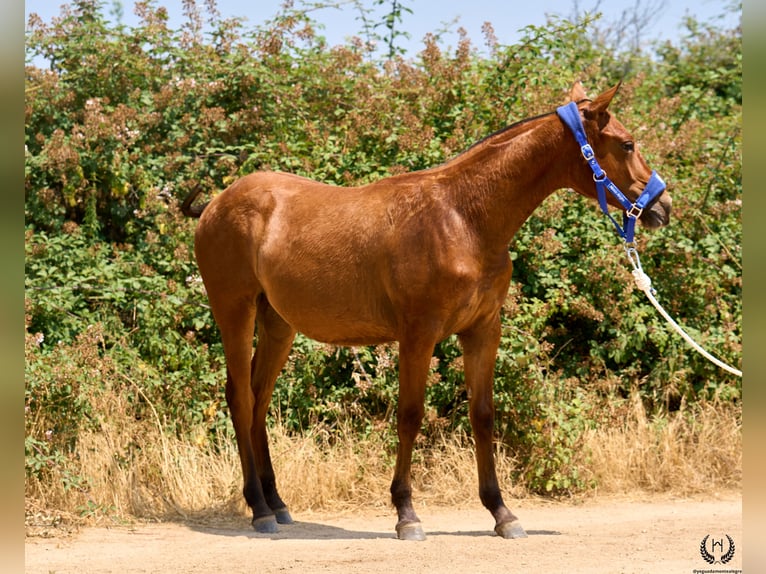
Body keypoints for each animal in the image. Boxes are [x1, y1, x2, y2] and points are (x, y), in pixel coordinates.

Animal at [181, 82, 672, 540]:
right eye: (626, 144)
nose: (662, 206)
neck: (463, 217)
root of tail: (215, 204)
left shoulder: (482, 331)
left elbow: (483, 415)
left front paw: (501, 512)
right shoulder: (418, 335)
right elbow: (410, 415)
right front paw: (406, 514)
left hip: (278, 324)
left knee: (260, 399)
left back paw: (276, 502)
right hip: (234, 311)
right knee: (241, 398)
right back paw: (258, 508)